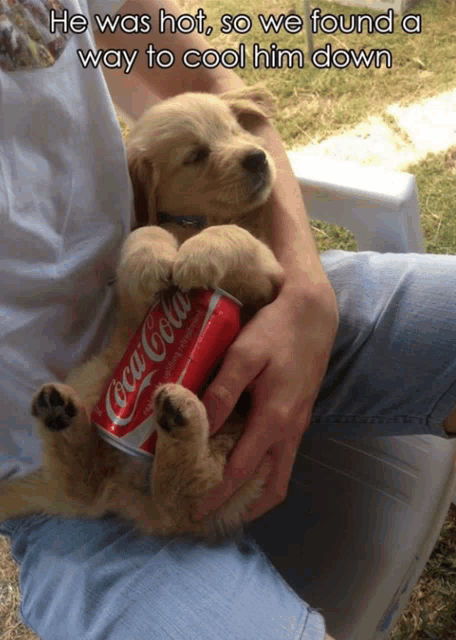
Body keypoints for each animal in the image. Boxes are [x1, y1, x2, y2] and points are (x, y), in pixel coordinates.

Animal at [0, 87, 284, 540]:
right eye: (196, 156)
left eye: (235, 129)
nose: (257, 157)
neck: (192, 222)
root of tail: (128, 493)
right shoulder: (134, 305)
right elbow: (145, 233)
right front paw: (155, 257)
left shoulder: (267, 276)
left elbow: (234, 235)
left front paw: (201, 253)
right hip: (97, 374)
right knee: (90, 483)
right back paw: (62, 415)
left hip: (241, 450)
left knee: (186, 495)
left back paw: (177, 418)